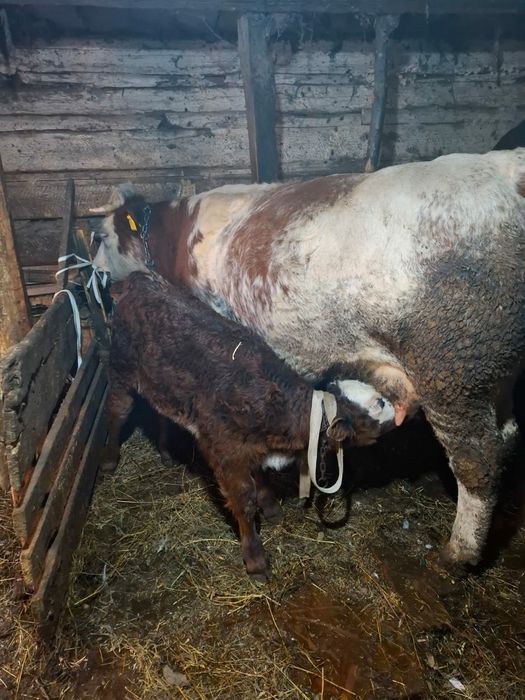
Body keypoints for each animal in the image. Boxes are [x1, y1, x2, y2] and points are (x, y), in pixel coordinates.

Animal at [103, 271, 395, 580]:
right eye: (379, 403)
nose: (401, 410)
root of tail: (138, 279)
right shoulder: (226, 454)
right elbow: (245, 502)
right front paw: (255, 559)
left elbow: (262, 479)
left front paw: (272, 509)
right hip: (121, 367)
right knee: (117, 411)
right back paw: (109, 460)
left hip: (160, 383)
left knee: (159, 414)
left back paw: (166, 453)